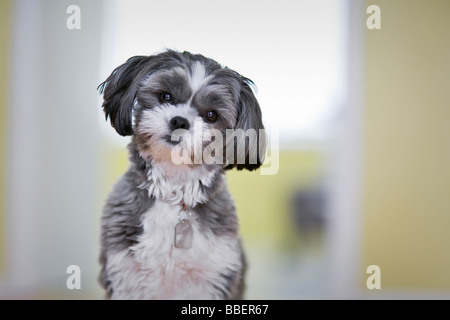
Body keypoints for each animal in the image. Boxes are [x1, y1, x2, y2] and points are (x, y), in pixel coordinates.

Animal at [98, 48, 266, 298]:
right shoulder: (125, 275)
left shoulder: (215, 277)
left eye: (211, 115)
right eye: (165, 97)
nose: (180, 121)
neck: (174, 193)